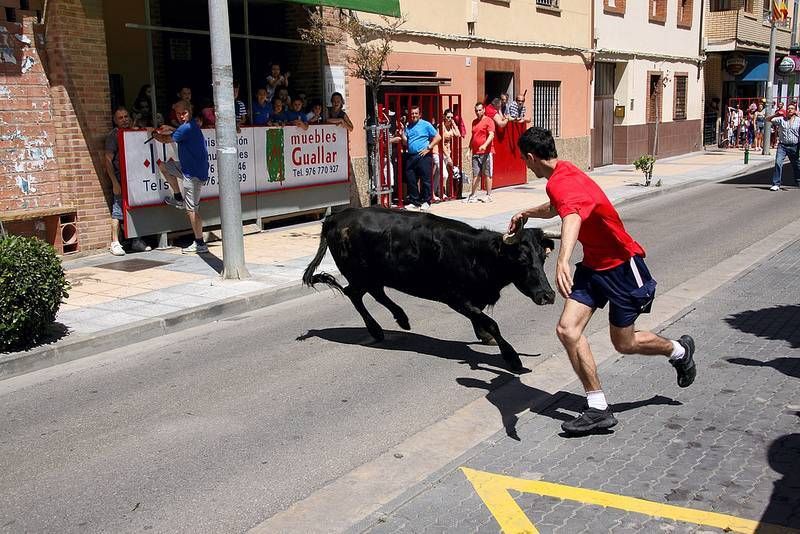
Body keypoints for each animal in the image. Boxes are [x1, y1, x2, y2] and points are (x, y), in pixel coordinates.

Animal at [302, 207, 556, 374]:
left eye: (543, 257)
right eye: (522, 260)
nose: (548, 295)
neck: (477, 254)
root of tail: (336, 217)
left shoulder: (475, 298)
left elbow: (481, 318)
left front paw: (484, 336)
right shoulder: (456, 298)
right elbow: (491, 322)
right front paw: (512, 358)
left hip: (375, 275)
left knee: (375, 293)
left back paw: (402, 319)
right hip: (359, 274)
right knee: (354, 294)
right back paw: (377, 329)